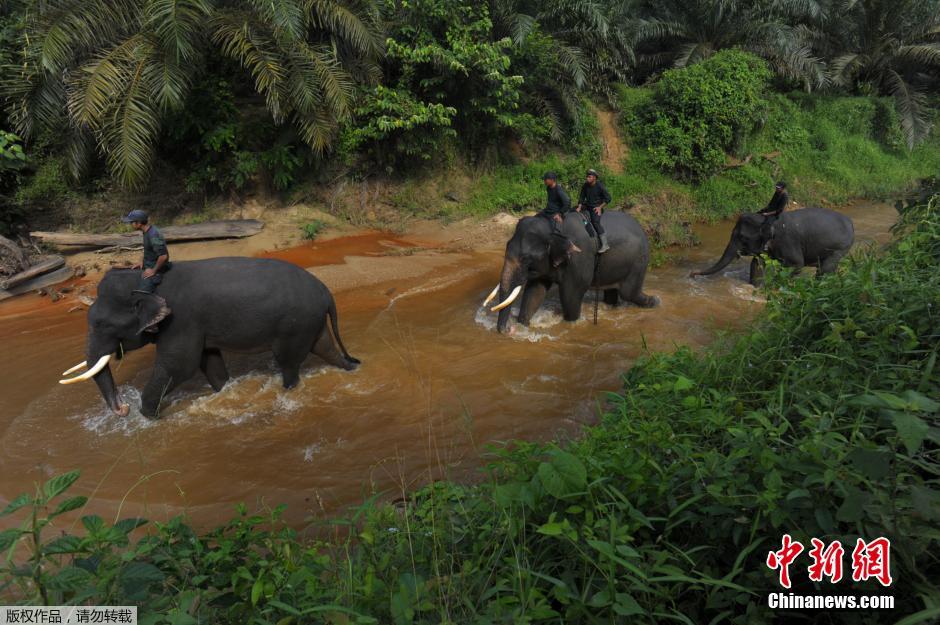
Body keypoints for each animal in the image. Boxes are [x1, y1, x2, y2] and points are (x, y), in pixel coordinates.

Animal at [57, 256, 360, 416]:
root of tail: (326, 291)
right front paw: (224, 391)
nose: (123, 409)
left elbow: (179, 366)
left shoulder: (181, 321)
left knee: (288, 362)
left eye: (102, 324)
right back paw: (351, 368)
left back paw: (287, 390)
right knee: (325, 349)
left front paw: (147, 416)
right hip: (310, 321)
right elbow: (210, 363)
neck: (147, 284)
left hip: (294, 325)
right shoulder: (198, 327)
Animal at [482, 210, 656, 334]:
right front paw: (524, 324)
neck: (552, 226)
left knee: (629, 293)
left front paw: (572, 324)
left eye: (525, 259)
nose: (508, 330)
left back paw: (655, 301)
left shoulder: (579, 258)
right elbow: (535, 292)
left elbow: (571, 295)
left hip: (638, 261)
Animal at [688, 207, 856, 286]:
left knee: (825, 269)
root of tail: (851, 223)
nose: (692, 274)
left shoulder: (787, 241)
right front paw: (757, 287)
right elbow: (757, 265)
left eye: (742, 237)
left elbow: (797, 264)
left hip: (840, 247)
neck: (767, 219)